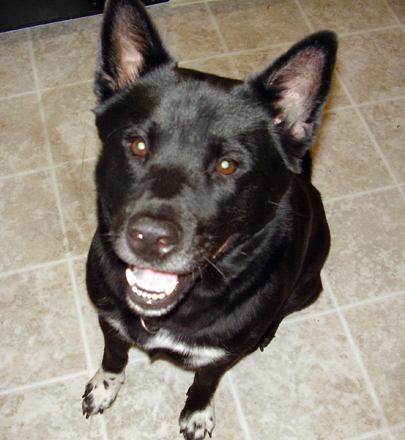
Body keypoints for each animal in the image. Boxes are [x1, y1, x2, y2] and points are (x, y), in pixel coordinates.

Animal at [81, 1, 334, 438]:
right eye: (137, 144)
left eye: (228, 165)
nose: (150, 237)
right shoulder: (109, 319)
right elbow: (114, 357)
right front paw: (105, 386)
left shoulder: (221, 355)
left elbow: (204, 382)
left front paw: (197, 413)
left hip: (307, 287)